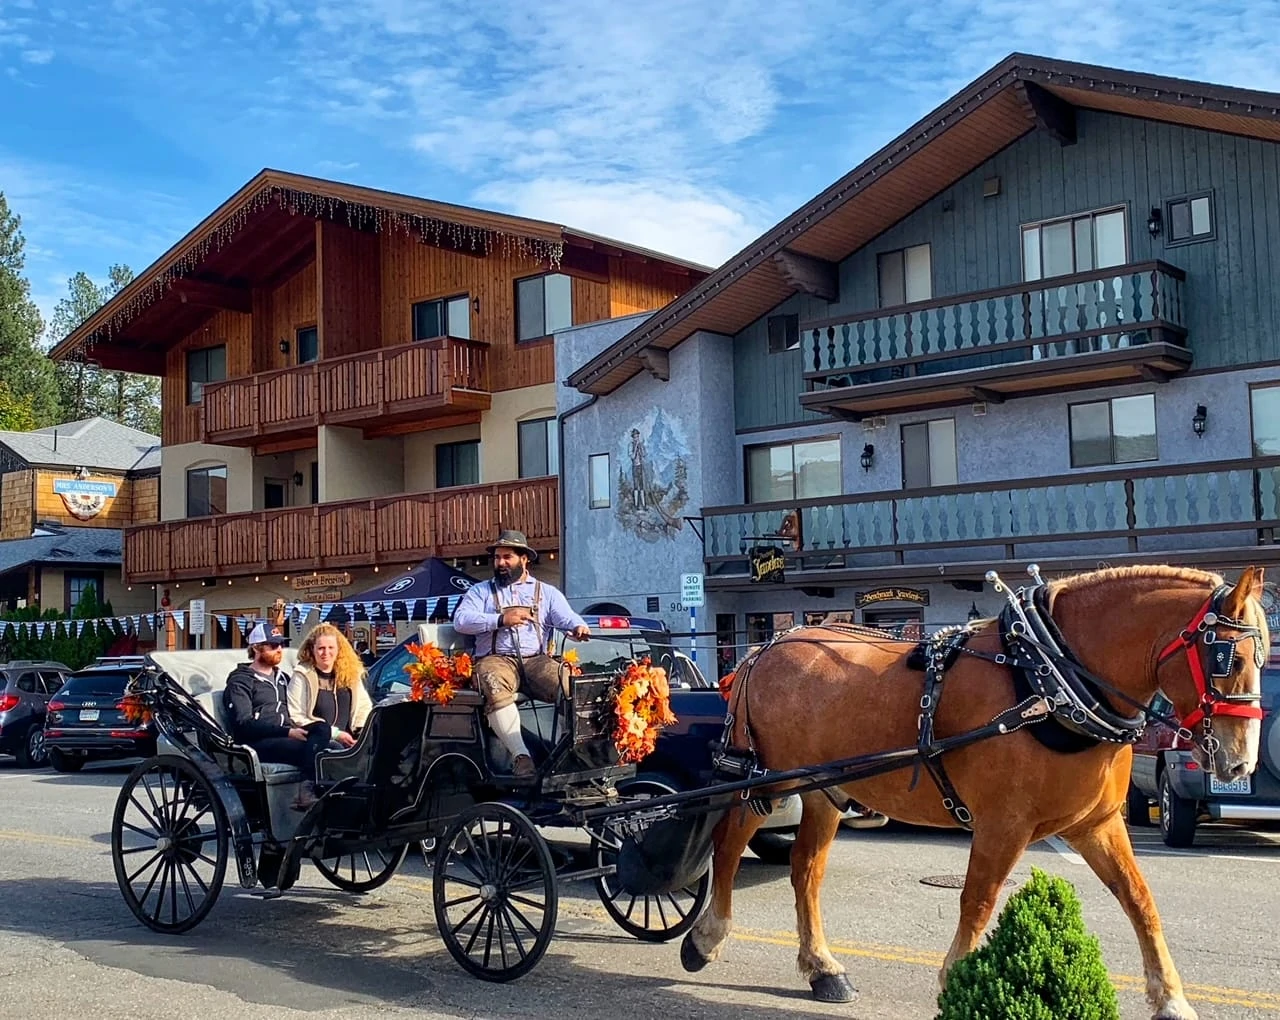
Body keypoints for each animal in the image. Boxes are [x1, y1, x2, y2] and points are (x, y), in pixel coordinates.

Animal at [680, 565, 1269, 1018]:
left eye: (1260, 658)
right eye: (1227, 657)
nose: (1240, 760)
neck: (1048, 682)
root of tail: (764, 649)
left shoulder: (1095, 824)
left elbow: (1140, 901)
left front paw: (1171, 998)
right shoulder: (1002, 824)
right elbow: (978, 900)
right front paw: (956, 978)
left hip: (826, 790)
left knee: (805, 869)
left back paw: (823, 968)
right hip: (767, 780)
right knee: (728, 846)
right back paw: (706, 937)